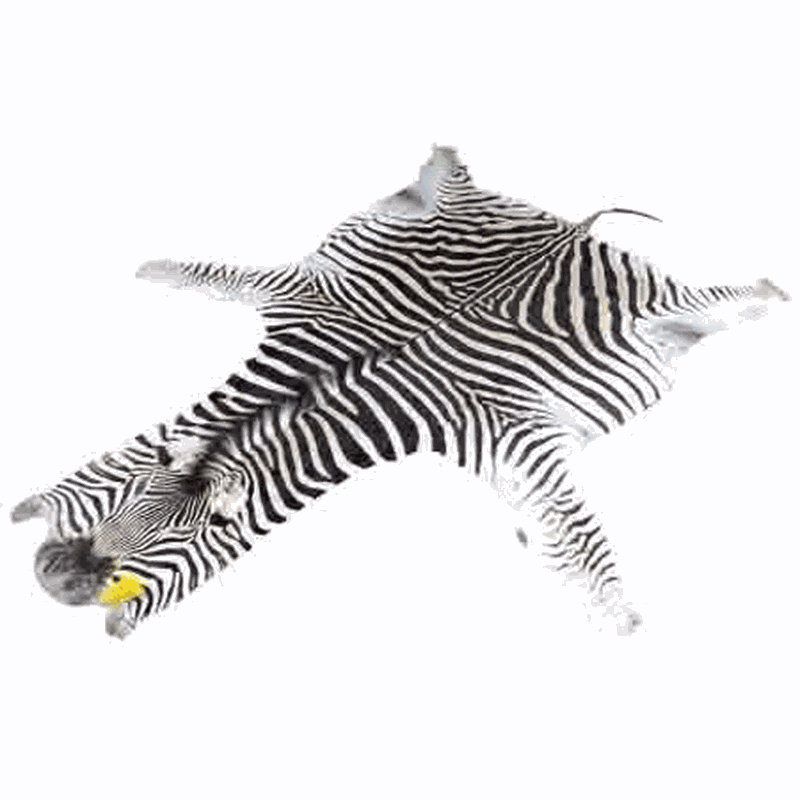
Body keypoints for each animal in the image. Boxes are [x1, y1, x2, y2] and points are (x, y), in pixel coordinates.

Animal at [11, 145, 791, 638]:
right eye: (139, 488)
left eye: (204, 532)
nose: (56, 582)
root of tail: (572, 230)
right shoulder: (308, 299)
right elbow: (224, 282)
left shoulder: (511, 434)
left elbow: (579, 543)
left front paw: (617, 618)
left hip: (670, 313)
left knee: (730, 304)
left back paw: (764, 293)